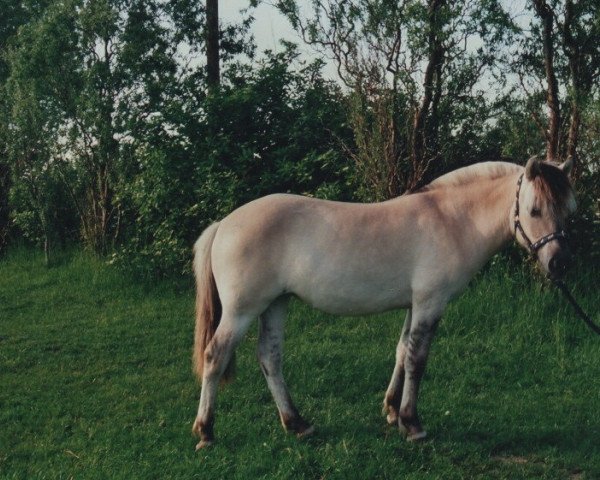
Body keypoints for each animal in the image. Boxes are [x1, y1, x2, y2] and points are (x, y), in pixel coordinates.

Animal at [192, 156, 576, 448]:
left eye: (569, 211)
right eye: (534, 209)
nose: (559, 264)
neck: (453, 220)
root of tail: (224, 223)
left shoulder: (413, 305)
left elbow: (401, 352)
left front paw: (392, 411)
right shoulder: (430, 304)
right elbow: (417, 360)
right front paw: (412, 423)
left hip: (275, 304)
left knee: (270, 358)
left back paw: (297, 423)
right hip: (242, 311)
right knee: (215, 356)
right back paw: (206, 431)